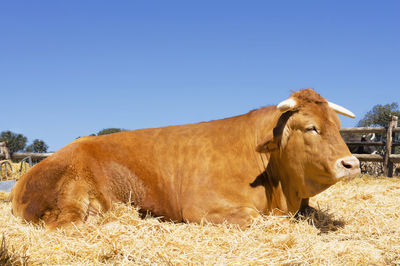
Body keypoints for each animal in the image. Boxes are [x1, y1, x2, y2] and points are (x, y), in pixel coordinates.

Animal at [10, 88, 360, 228]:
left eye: (338, 126)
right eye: (311, 127)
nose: (352, 164)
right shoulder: (201, 207)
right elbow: (257, 217)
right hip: (70, 192)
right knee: (66, 225)